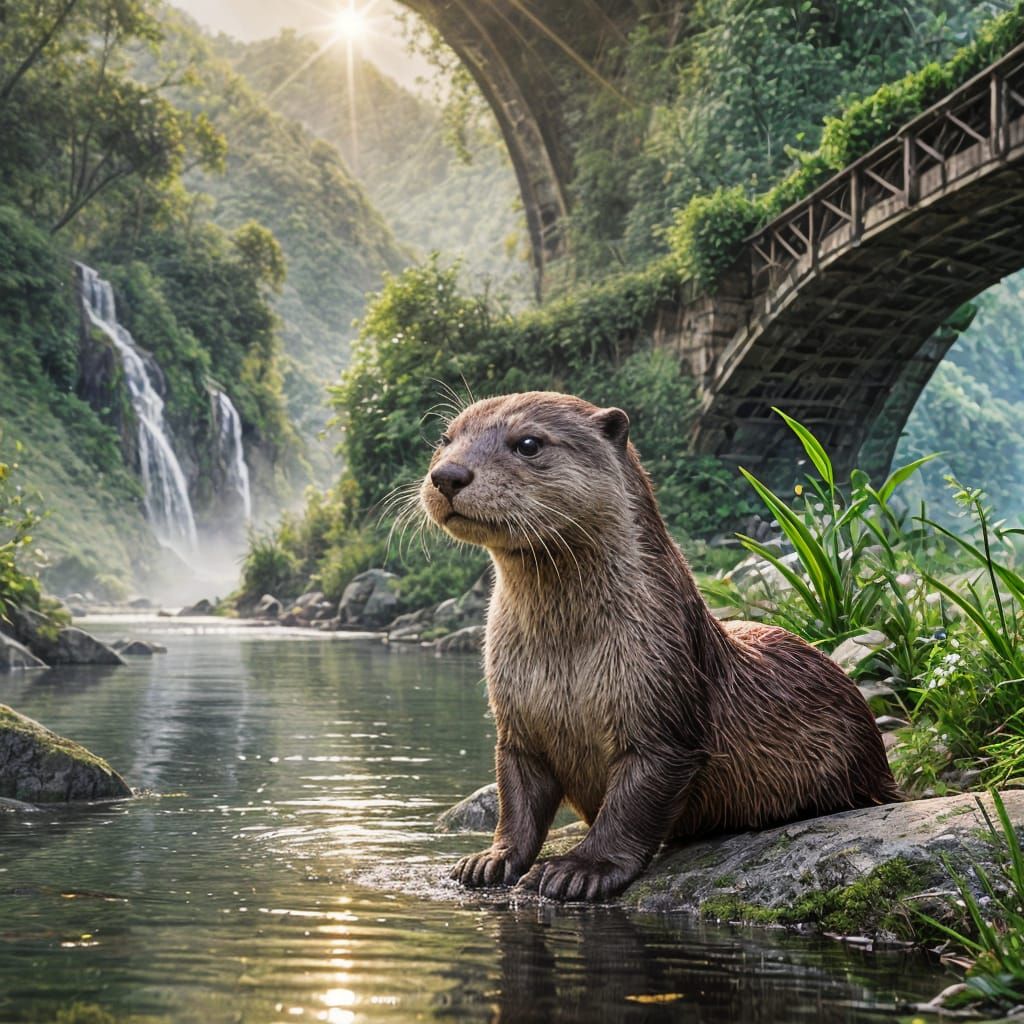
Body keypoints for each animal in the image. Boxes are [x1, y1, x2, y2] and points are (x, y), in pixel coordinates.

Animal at [420, 391, 901, 902]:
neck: (565, 660)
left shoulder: (662, 707)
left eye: (528, 443)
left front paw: (580, 869)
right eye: (445, 439)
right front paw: (490, 860)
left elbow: (633, 803)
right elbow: (516, 798)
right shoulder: (515, 723)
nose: (448, 475)